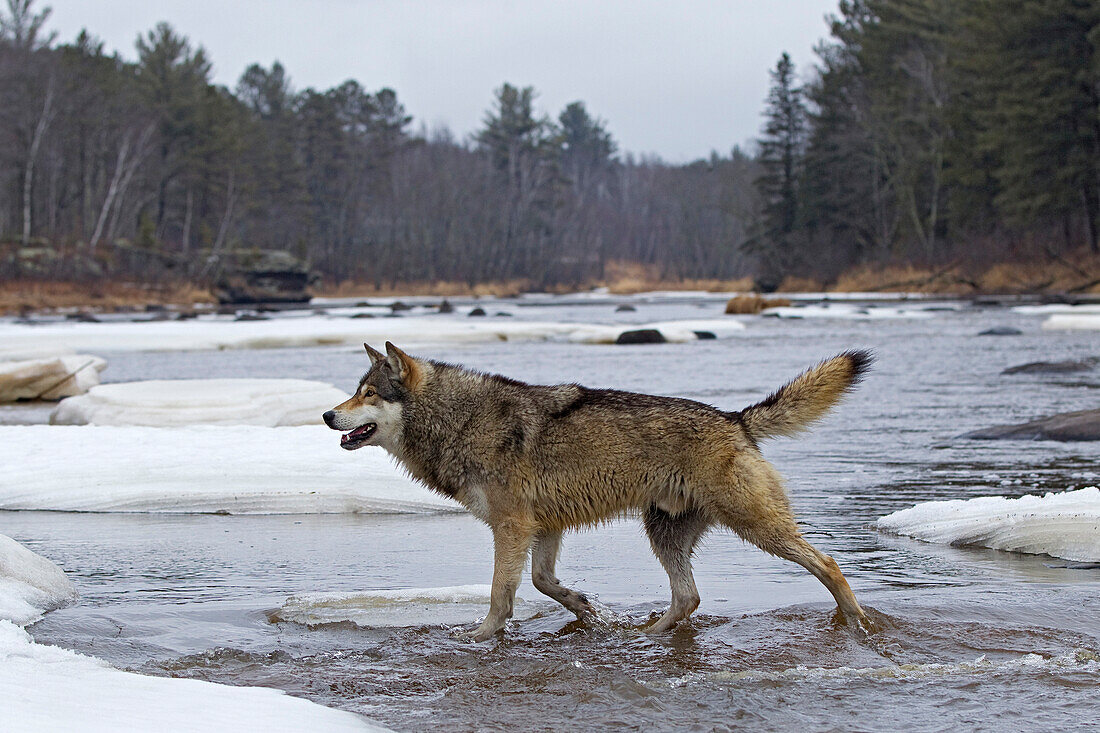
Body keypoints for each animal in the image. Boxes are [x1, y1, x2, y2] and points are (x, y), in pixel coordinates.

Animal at [321, 343, 871, 638]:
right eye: (354, 391)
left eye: (368, 394)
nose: (327, 415)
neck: (459, 421)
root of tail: (736, 419)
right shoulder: (542, 528)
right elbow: (544, 583)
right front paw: (588, 609)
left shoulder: (511, 527)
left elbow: (501, 594)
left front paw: (480, 637)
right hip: (664, 534)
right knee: (688, 597)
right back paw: (646, 634)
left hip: (756, 529)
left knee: (829, 564)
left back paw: (859, 622)